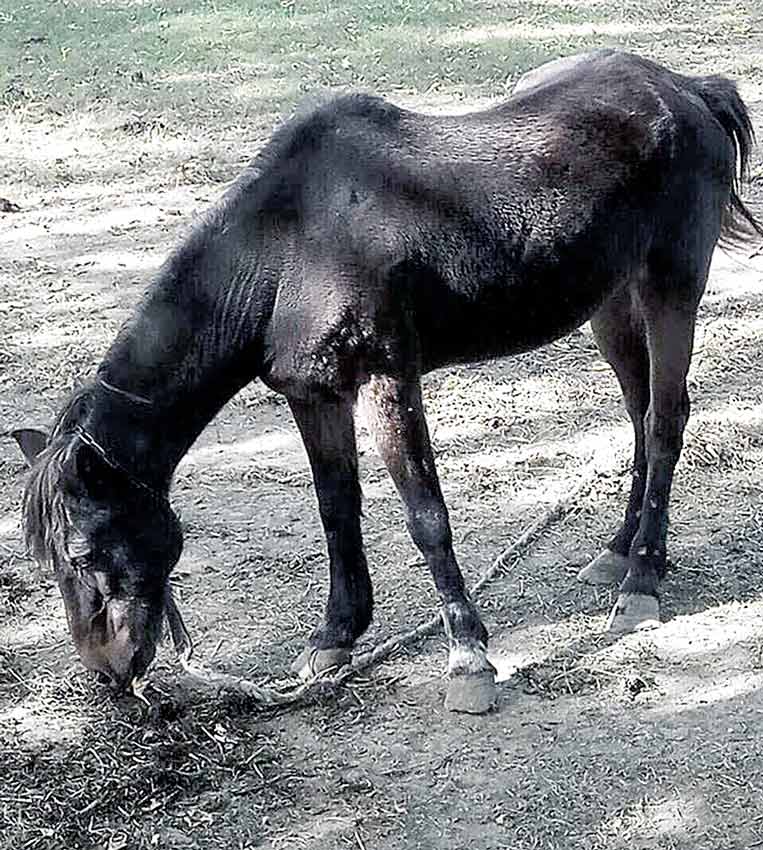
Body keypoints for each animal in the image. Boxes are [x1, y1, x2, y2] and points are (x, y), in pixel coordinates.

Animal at [14, 46, 760, 708]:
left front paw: (468, 657)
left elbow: (425, 515)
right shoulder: (314, 396)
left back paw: (641, 581)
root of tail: (687, 89)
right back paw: (618, 552)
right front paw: (335, 638)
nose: (109, 671)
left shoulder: (385, 380)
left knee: (665, 421)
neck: (291, 247)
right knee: (638, 414)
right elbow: (336, 509)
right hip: (609, 301)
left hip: (670, 286)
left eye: (83, 553)